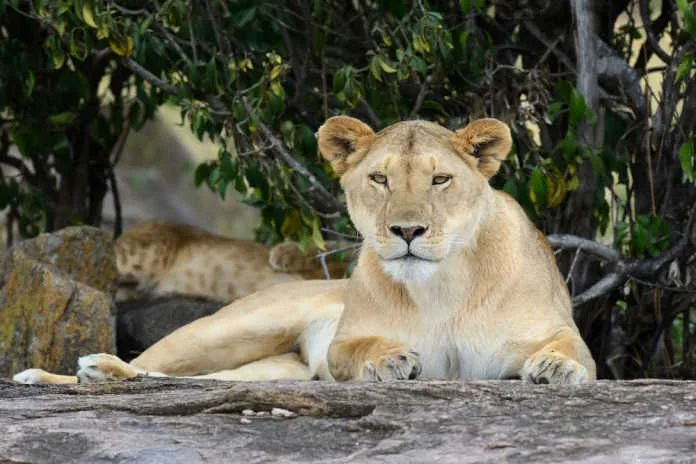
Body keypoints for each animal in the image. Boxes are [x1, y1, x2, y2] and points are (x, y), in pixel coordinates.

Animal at [13, 116, 596, 385]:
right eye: (379, 178)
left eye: (440, 180)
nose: (407, 230)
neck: (442, 286)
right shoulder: (343, 344)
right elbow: (355, 348)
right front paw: (390, 359)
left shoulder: (558, 331)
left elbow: (574, 351)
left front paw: (554, 368)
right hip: (231, 327)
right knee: (158, 366)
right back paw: (67, 373)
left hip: (274, 370)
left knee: (181, 381)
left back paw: (96, 374)